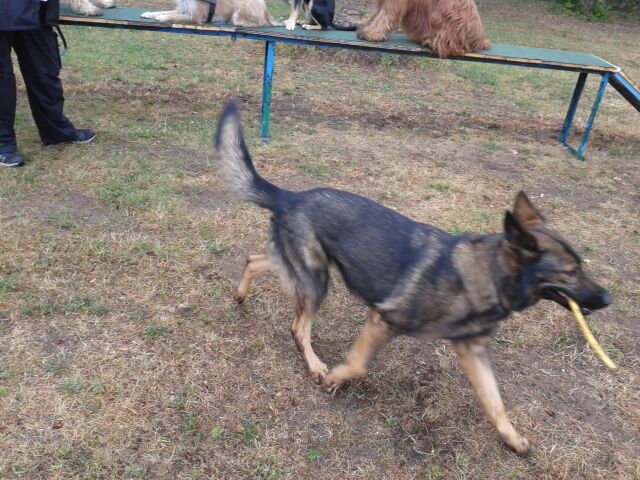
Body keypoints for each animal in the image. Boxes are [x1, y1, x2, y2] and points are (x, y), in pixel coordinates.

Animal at [214, 102, 612, 456]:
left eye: (581, 265)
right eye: (570, 272)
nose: (607, 298)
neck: (486, 276)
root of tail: (291, 197)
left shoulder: (472, 351)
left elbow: (495, 401)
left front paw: (512, 438)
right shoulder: (382, 320)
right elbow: (357, 365)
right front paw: (335, 378)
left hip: (306, 268)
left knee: (255, 260)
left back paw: (241, 294)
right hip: (317, 279)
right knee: (298, 327)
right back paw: (314, 365)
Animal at [357, 0, 490, 58]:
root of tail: (480, 41)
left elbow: (385, 15)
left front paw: (372, 33)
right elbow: (377, 13)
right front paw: (367, 27)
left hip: (444, 17)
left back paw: (430, 41)